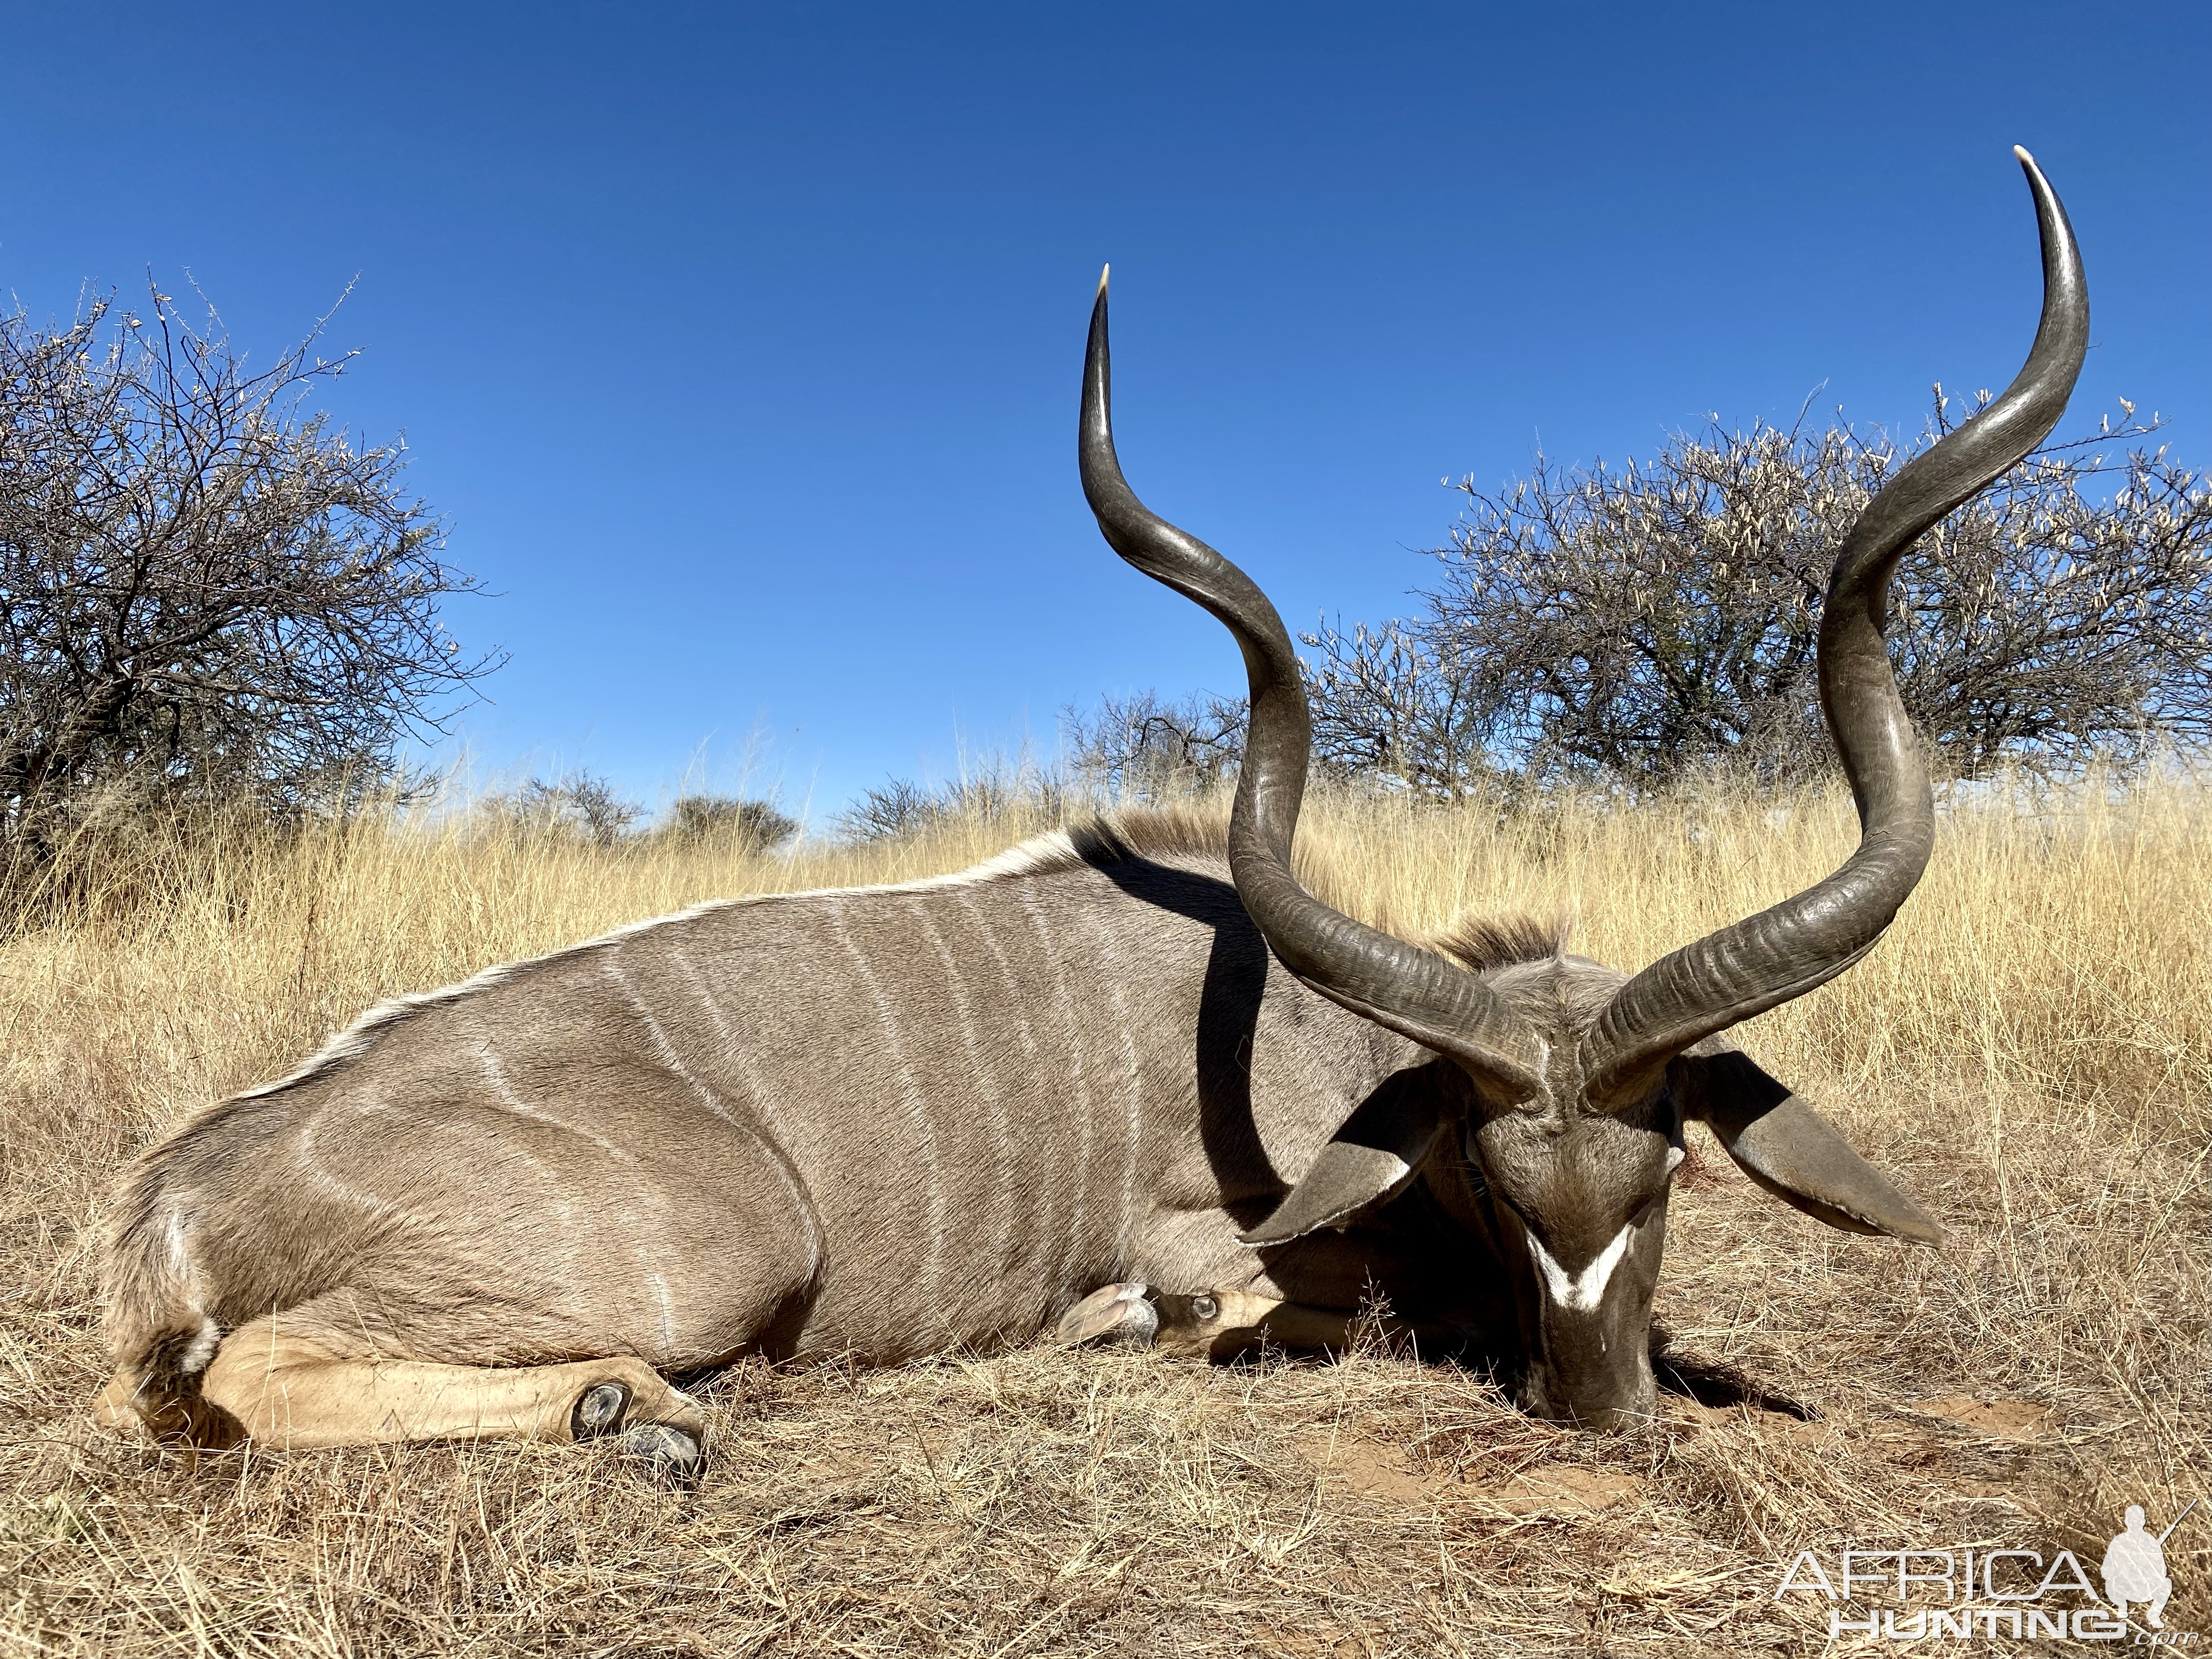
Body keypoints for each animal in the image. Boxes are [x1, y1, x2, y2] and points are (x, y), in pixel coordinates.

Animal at [95, 153, 2079, 1477]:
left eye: (1666, 1166)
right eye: (1491, 1172)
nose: (1601, 1406)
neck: (1326, 1049)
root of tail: (174, 1201)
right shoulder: (1218, 1238)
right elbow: (1298, 1304)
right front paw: (1131, 1323)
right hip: (734, 1252)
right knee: (248, 1379)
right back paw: (634, 1411)